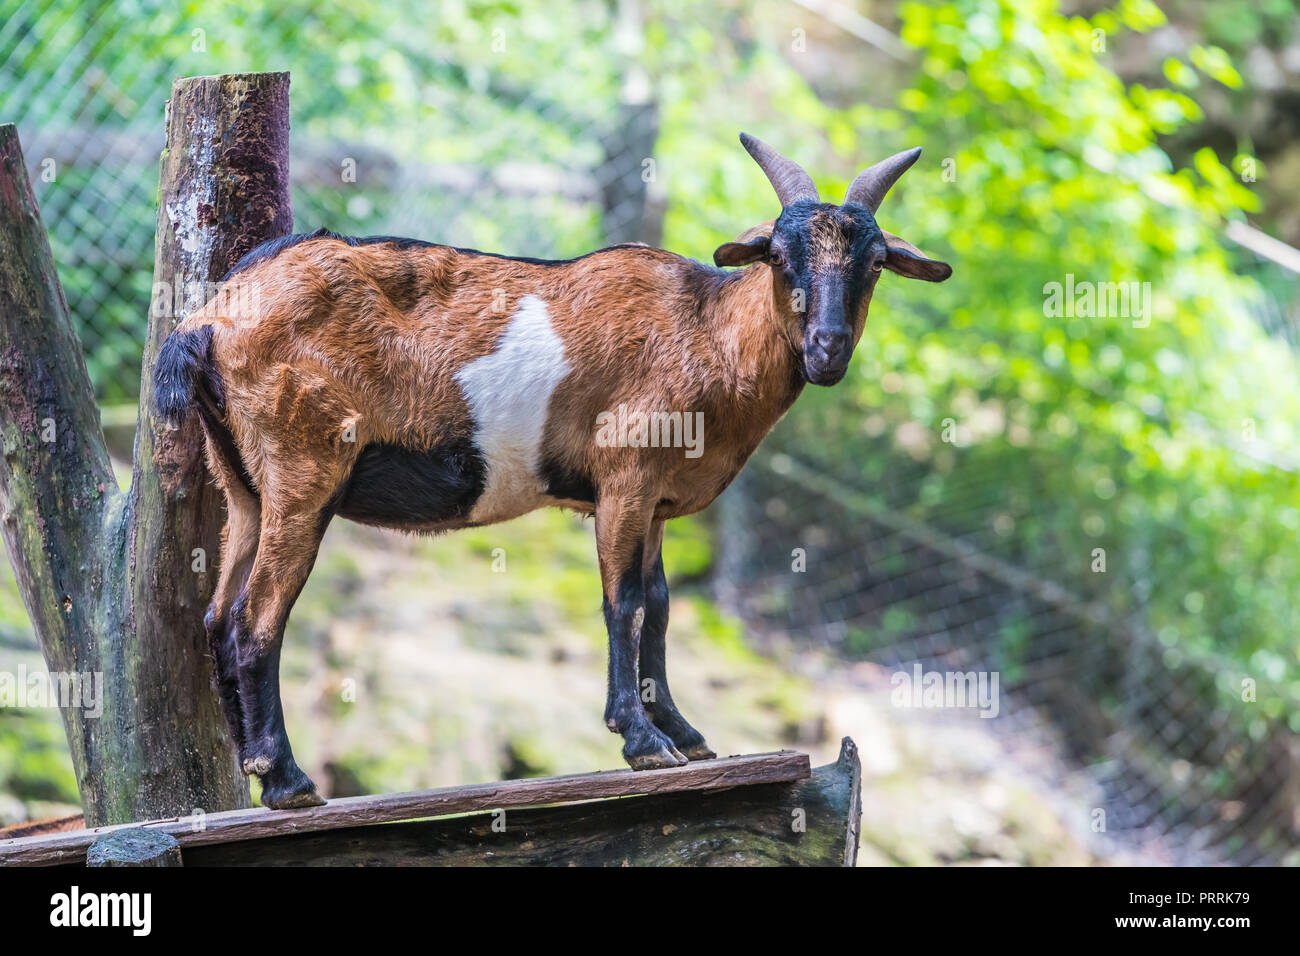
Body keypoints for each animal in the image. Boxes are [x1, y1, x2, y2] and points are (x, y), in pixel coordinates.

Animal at [152, 134, 951, 806]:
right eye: (780, 257)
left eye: (874, 262)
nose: (827, 350)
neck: (705, 331)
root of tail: (211, 319)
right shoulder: (624, 479)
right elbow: (623, 604)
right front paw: (643, 742)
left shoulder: (656, 505)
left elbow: (661, 607)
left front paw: (686, 735)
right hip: (304, 474)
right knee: (257, 619)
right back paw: (288, 781)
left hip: (246, 486)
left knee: (218, 616)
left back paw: (253, 772)